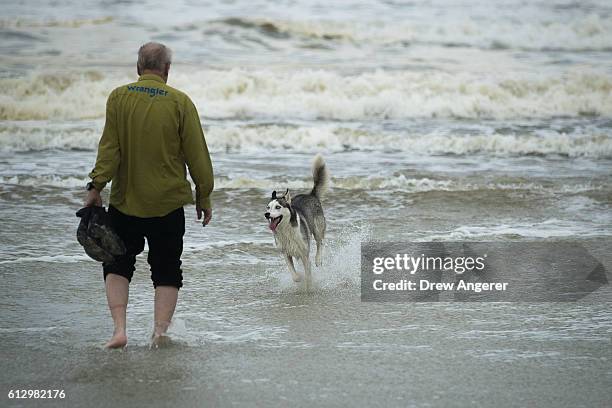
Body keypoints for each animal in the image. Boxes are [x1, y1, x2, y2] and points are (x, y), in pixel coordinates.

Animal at [264, 154, 330, 290]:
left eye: (277, 207)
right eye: (268, 207)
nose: (266, 214)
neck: (286, 230)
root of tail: (311, 195)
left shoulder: (305, 253)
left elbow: (308, 274)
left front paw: (309, 287)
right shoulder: (285, 253)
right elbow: (294, 274)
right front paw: (299, 277)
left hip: (317, 228)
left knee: (320, 242)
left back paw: (318, 259)